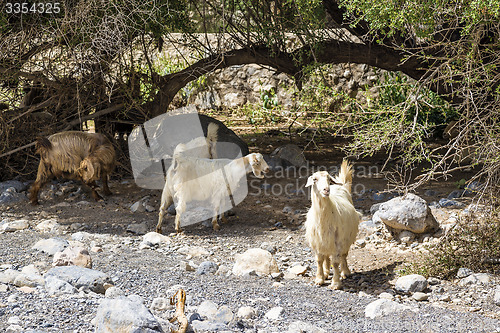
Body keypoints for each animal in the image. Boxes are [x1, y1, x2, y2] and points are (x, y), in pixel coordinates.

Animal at [304, 160, 360, 290]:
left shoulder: (338, 241)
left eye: (329, 179)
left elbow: (335, 263)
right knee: (326, 256)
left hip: (346, 239)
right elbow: (319, 260)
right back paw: (325, 272)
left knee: (344, 256)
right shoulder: (317, 242)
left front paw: (335, 283)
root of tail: (341, 186)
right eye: (314, 179)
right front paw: (319, 279)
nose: (326, 190)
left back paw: (345, 272)